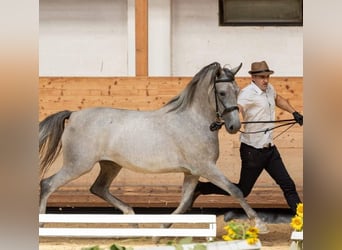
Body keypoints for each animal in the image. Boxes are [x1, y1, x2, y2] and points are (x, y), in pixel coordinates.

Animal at [39, 62, 268, 232]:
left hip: (110, 165)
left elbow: (185, 202)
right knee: (47, 184)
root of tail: (74, 114)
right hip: (78, 165)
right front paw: (259, 224)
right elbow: (235, 189)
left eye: (237, 90)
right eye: (221, 93)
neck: (194, 121)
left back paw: (133, 220)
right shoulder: (206, 168)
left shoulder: (193, 172)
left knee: (98, 188)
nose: (234, 126)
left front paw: (161, 229)